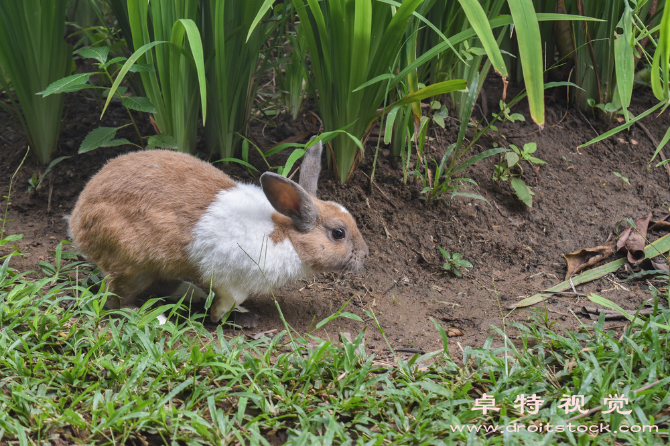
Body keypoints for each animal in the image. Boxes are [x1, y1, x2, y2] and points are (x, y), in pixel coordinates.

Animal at [67, 139, 370, 320]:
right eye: (338, 234)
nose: (364, 255)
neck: (288, 238)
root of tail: (78, 221)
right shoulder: (233, 282)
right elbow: (229, 302)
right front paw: (221, 317)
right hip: (134, 265)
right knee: (116, 299)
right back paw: (157, 317)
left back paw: (192, 294)